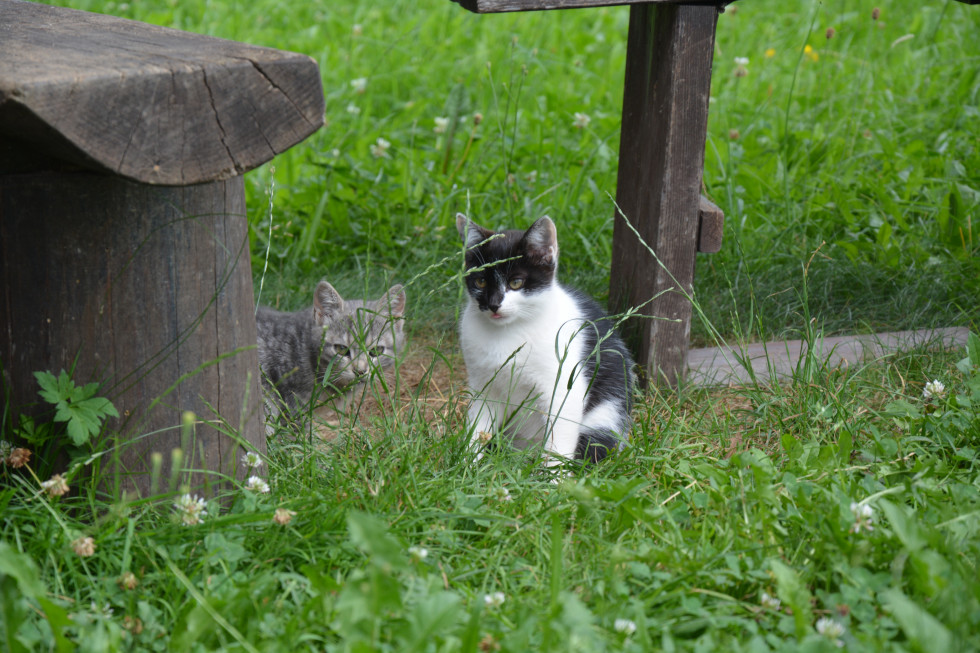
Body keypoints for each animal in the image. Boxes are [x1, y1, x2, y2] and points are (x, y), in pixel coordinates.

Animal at [458, 211, 636, 460]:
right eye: (480, 281)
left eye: (516, 282)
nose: (493, 304)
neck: (509, 332)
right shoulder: (483, 385)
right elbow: (478, 425)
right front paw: (467, 461)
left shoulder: (564, 388)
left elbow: (559, 440)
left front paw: (554, 471)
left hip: (607, 413)